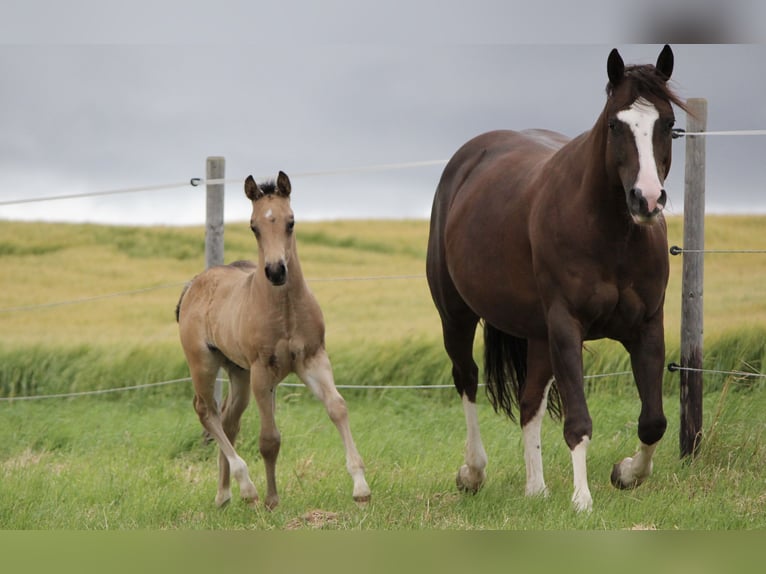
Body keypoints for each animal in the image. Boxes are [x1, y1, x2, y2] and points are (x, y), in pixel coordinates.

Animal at [180, 172, 372, 512]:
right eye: (253, 226)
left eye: (291, 221)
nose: (275, 271)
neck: (285, 309)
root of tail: (192, 285)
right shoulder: (262, 371)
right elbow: (269, 438)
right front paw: (270, 499)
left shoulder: (313, 359)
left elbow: (337, 407)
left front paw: (361, 487)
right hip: (203, 362)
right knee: (207, 412)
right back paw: (246, 488)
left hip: (237, 371)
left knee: (228, 419)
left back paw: (224, 494)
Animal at [426, 46, 688, 512]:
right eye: (614, 124)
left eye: (669, 124)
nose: (647, 199)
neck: (610, 234)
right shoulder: (567, 325)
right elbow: (578, 420)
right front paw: (582, 499)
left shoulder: (647, 326)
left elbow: (654, 421)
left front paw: (626, 473)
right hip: (456, 316)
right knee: (467, 380)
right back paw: (472, 473)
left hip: (536, 333)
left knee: (529, 400)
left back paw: (536, 488)